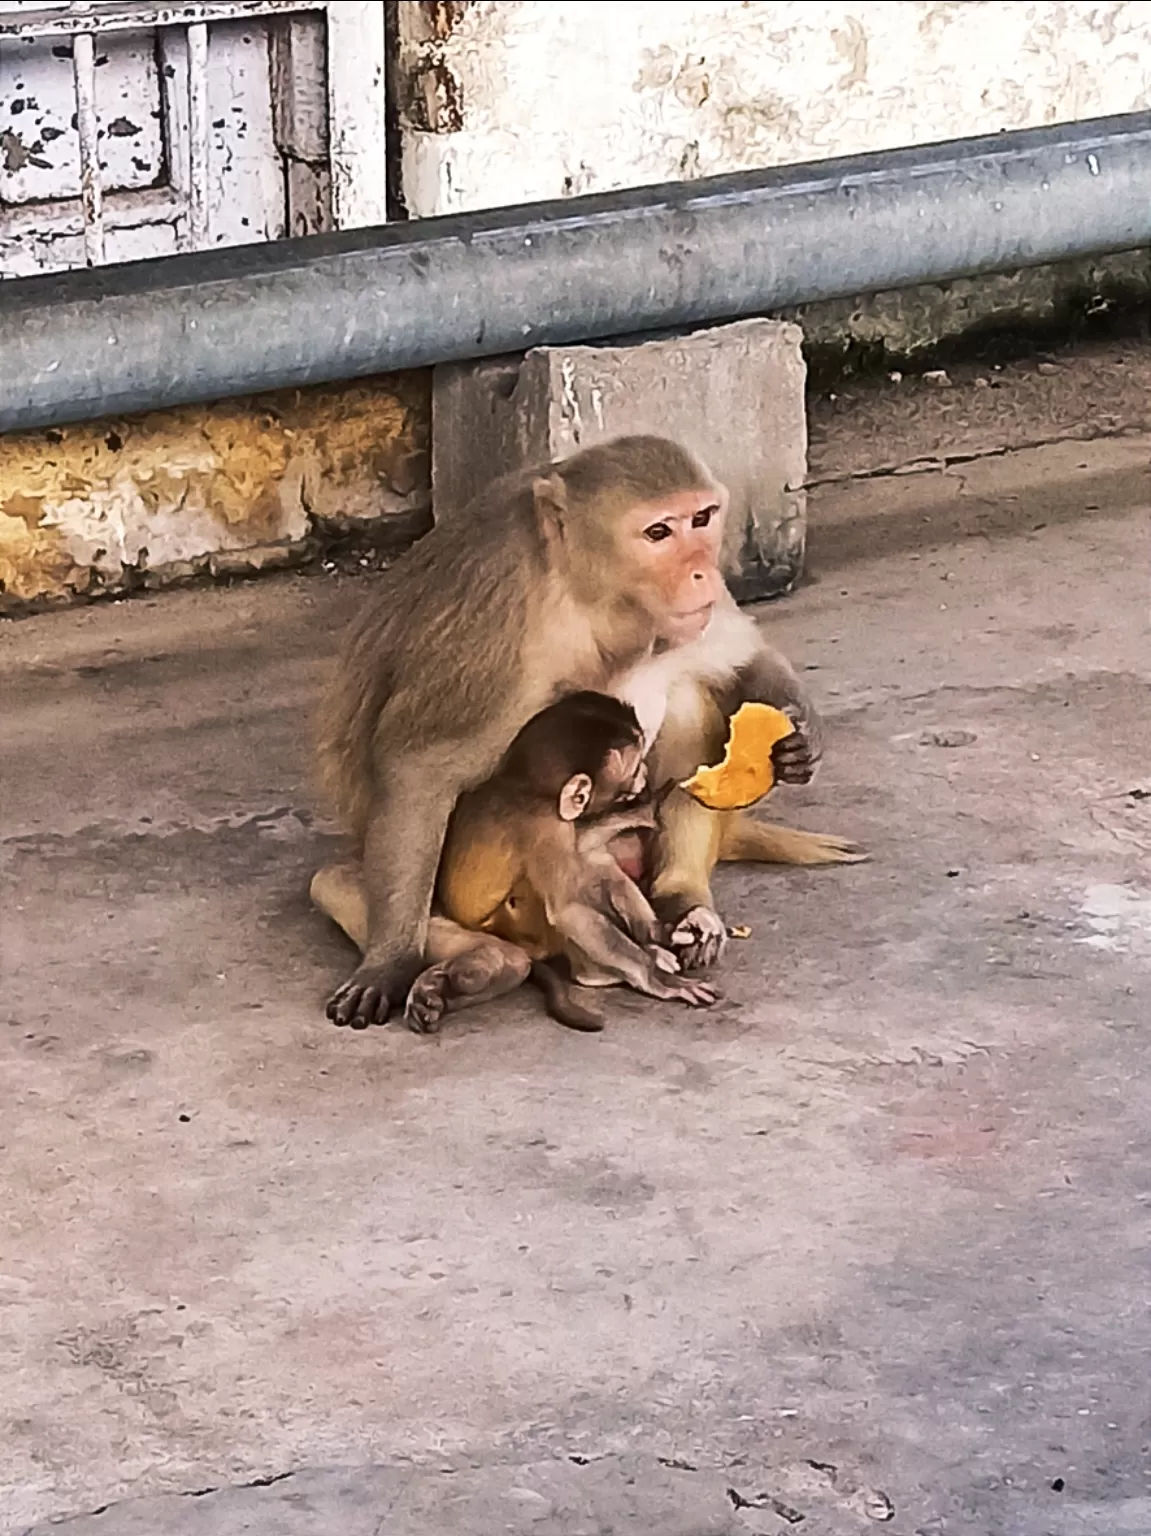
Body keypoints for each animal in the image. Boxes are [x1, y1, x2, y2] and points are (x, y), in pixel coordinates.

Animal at [318, 436, 829, 1032]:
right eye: (659, 532)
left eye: (701, 519)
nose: (703, 572)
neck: (585, 591)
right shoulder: (501, 617)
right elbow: (417, 766)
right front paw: (390, 961)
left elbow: (741, 659)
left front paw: (801, 735)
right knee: (336, 880)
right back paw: (489, 962)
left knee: (685, 690)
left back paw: (683, 899)